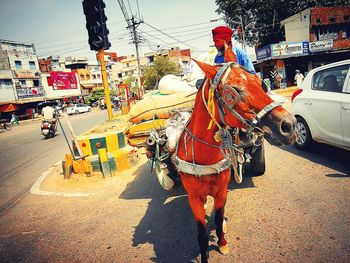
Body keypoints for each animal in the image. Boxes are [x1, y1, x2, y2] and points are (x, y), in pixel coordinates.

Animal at [174, 53, 296, 262]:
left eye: (262, 85)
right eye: (234, 91)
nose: (290, 125)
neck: (205, 157)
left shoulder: (222, 191)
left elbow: (218, 217)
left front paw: (222, 243)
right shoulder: (194, 197)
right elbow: (201, 233)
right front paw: (205, 254)